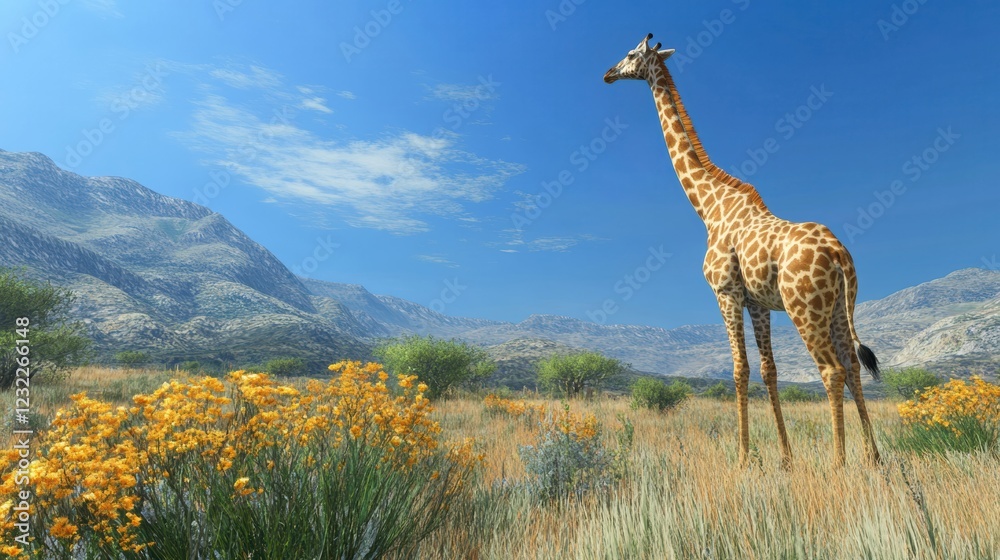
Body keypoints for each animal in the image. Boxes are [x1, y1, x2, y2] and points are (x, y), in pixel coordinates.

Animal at [604, 33, 881, 468]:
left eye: (631, 53)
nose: (608, 73)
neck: (709, 206)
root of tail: (839, 254)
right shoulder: (758, 303)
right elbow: (768, 370)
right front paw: (785, 458)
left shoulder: (726, 292)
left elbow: (740, 370)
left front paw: (743, 457)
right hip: (839, 307)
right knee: (853, 366)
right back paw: (874, 459)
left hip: (805, 309)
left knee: (832, 370)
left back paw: (839, 463)